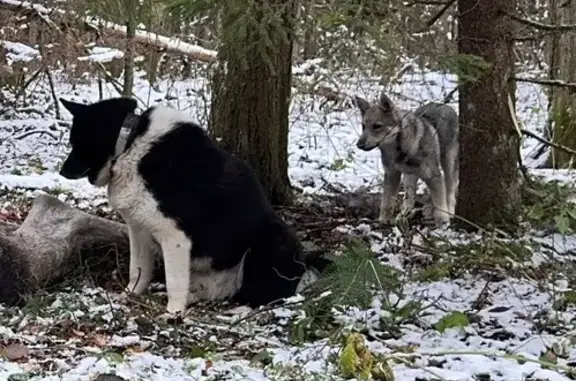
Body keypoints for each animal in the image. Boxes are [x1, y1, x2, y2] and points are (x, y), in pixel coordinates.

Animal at [60, 96, 326, 314]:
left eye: (76, 142)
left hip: (273, 239)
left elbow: (174, 281)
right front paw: (130, 295)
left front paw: (173, 313)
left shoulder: (174, 236)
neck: (129, 144)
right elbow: (138, 270)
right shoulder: (139, 229)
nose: (62, 172)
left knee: (265, 296)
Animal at [354, 92, 456, 227]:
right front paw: (382, 221)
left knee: (450, 191)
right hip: (409, 175)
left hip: (449, 165)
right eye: (363, 126)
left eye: (377, 126)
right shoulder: (392, 175)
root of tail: (444, 105)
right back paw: (405, 215)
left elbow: (440, 203)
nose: (359, 144)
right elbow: (386, 203)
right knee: (409, 198)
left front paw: (443, 221)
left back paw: (450, 212)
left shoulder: (433, 176)